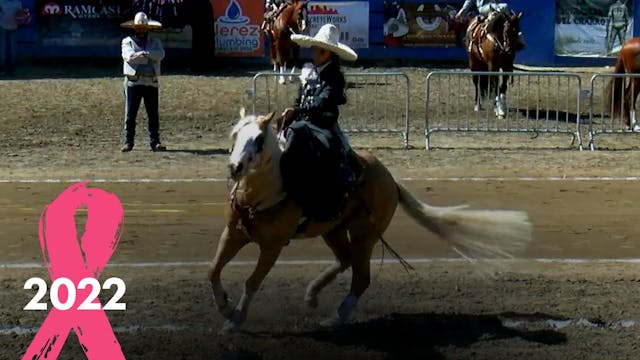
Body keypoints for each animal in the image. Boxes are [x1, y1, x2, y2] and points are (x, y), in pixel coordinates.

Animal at [208, 109, 532, 334]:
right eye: (235, 136)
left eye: (259, 140)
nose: (234, 167)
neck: (265, 193)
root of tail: (391, 182)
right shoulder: (232, 234)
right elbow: (213, 271)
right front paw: (224, 308)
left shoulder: (272, 247)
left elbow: (252, 282)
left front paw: (233, 322)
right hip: (334, 230)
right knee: (345, 260)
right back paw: (312, 295)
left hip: (365, 234)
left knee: (360, 276)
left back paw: (334, 318)